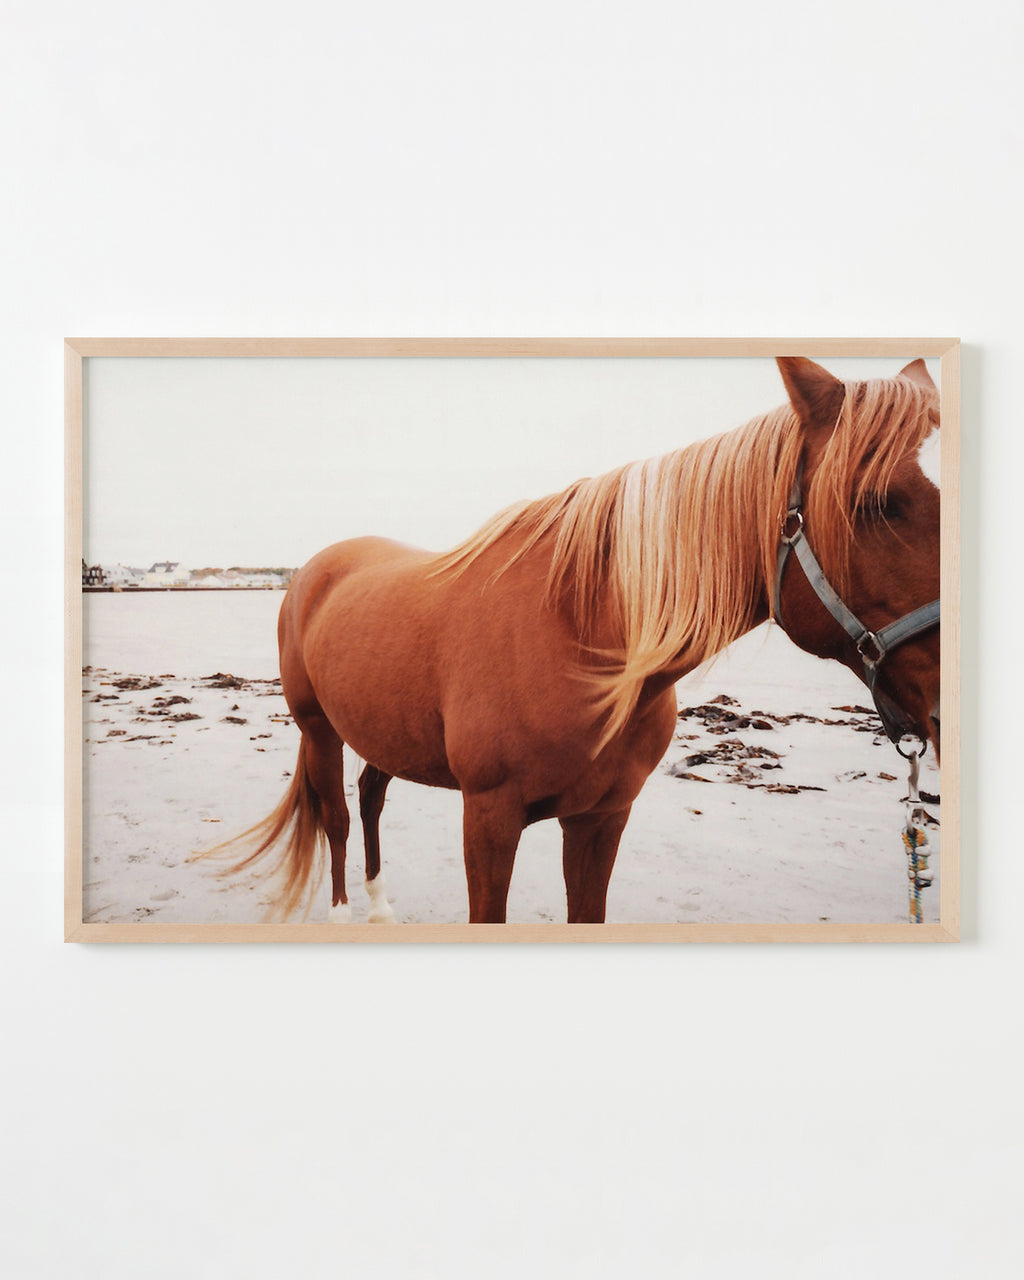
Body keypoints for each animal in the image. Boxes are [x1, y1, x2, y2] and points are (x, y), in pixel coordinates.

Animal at [212, 355, 941, 924]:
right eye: (877, 502)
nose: (943, 714)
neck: (583, 640)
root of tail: (314, 570)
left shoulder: (601, 819)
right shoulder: (489, 818)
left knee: (369, 798)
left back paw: (381, 906)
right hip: (318, 728)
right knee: (336, 815)